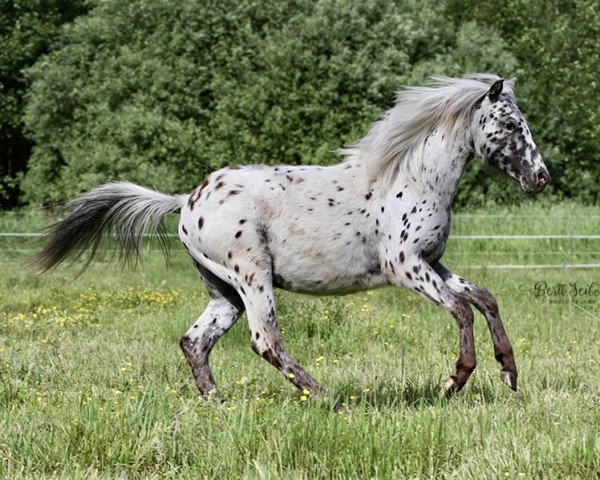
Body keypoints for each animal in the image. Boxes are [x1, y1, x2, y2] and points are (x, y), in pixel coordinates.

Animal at [32, 75, 548, 404]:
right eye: (508, 125)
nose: (539, 177)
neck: (410, 178)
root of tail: (186, 201)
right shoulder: (405, 266)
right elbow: (462, 309)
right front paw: (453, 382)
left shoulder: (432, 262)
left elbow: (484, 297)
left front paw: (509, 373)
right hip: (252, 276)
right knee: (265, 341)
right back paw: (326, 397)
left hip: (223, 292)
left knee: (194, 342)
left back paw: (218, 404)